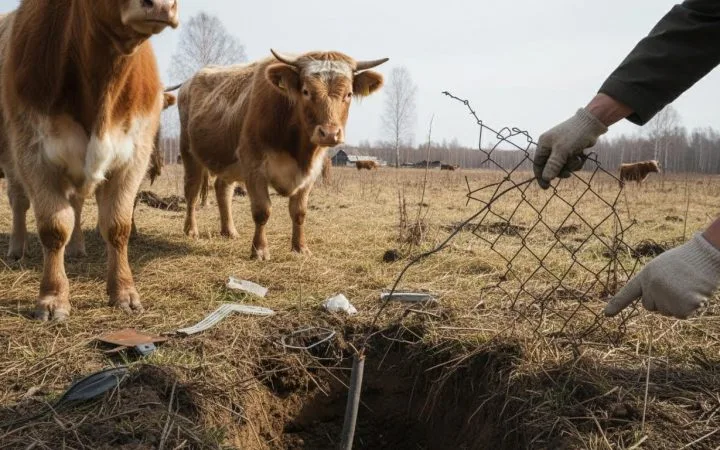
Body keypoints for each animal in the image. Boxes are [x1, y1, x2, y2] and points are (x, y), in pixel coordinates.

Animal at [0, 0, 179, 321]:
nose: (161, 6)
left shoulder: (133, 157)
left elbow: (117, 226)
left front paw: (124, 292)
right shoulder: (33, 154)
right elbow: (54, 227)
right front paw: (53, 298)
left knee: (77, 206)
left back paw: (76, 248)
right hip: (10, 156)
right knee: (19, 201)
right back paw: (17, 248)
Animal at [178, 50, 387, 260]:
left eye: (349, 94)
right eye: (306, 91)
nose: (329, 133)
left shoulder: (311, 172)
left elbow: (299, 212)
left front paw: (300, 248)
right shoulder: (254, 165)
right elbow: (262, 210)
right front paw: (260, 250)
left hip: (228, 162)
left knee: (223, 190)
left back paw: (229, 231)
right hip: (189, 153)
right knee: (192, 192)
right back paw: (191, 230)